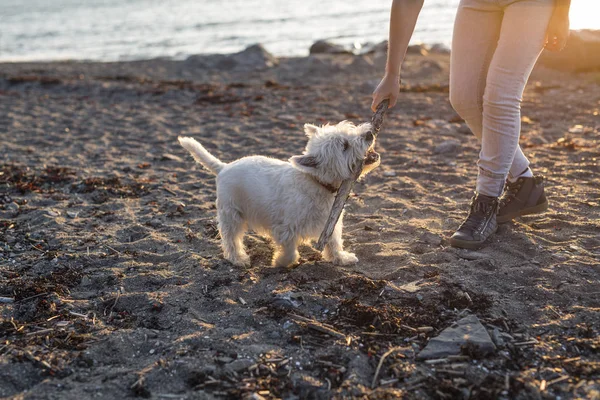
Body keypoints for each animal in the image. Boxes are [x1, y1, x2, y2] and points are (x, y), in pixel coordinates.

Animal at [179, 120, 380, 268]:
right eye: (344, 145)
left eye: (350, 130)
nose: (369, 134)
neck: (317, 182)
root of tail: (224, 167)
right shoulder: (285, 227)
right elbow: (290, 250)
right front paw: (280, 262)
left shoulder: (330, 223)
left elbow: (334, 242)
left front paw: (342, 258)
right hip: (231, 214)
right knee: (231, 238)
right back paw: (238, 259)